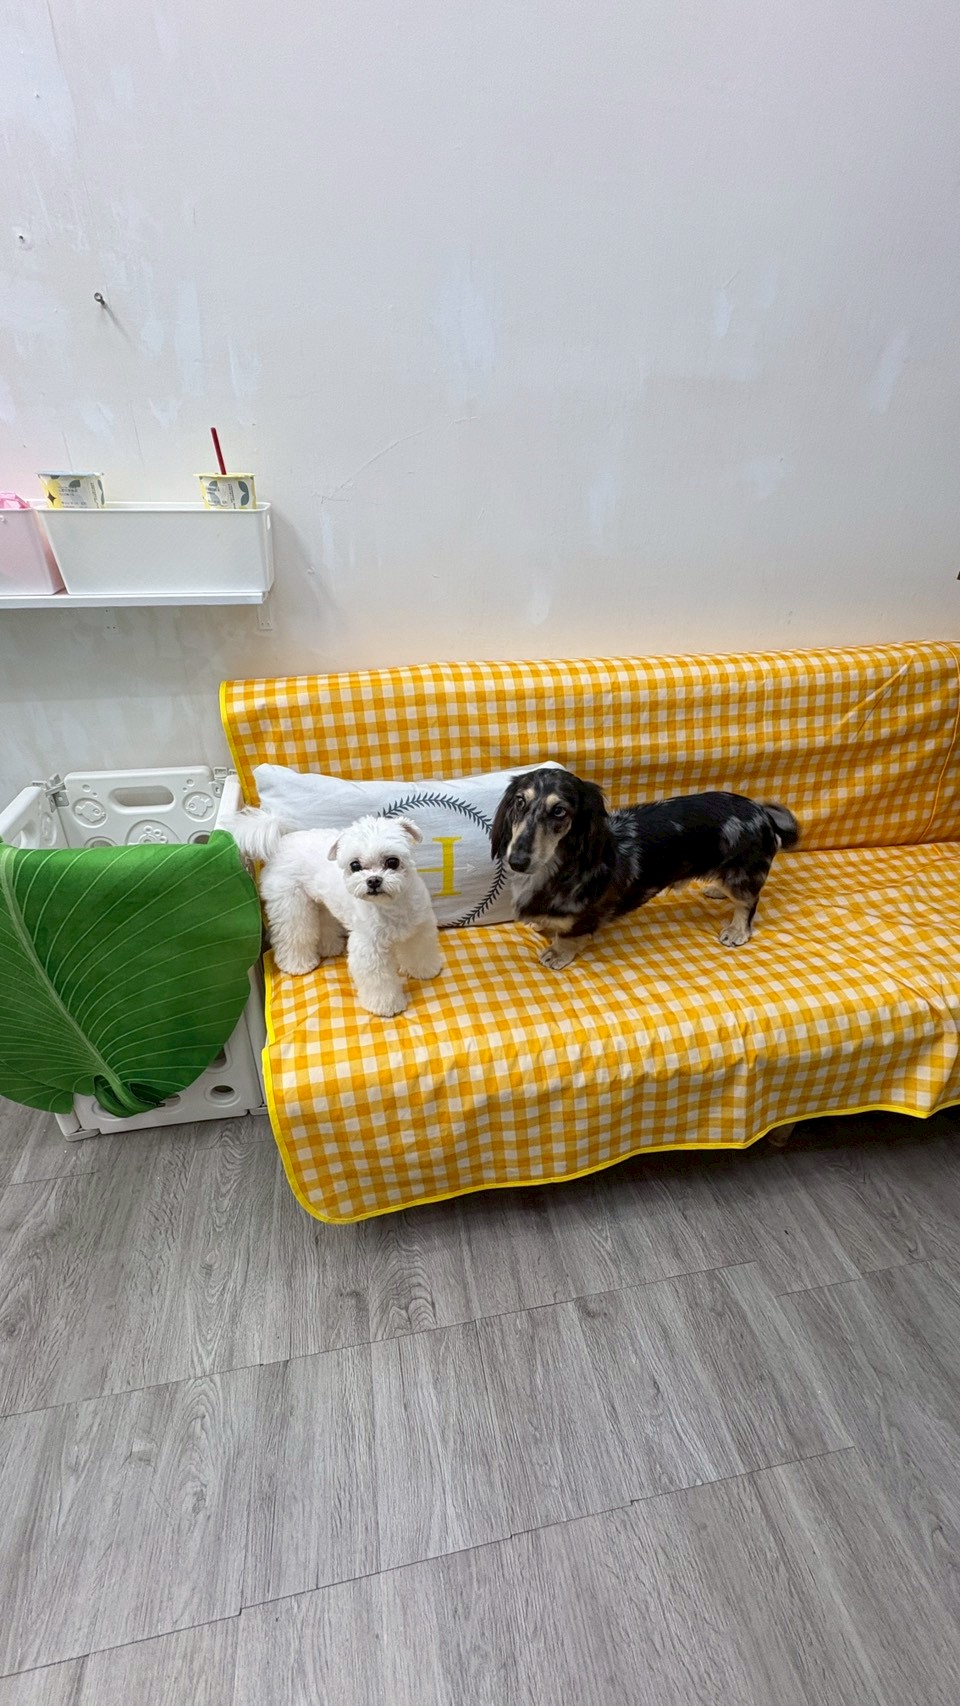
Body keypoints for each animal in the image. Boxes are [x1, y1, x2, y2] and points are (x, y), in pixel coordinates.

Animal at [226, 809, 443, 1016]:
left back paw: (329, 948)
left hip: (320, 901)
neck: (392, 905)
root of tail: (281, 841)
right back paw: (298, 964)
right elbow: (378, 979)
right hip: (291, 902)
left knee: (323, 922)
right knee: (295, 934)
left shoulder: (419, 928)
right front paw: (385, 1006)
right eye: (355, 865)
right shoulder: (368, 946)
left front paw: (425, 970)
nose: (373, 880)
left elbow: (420, 951)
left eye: (392, 862)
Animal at [490, 767, 799, 969]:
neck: (554, 869)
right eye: (520, 801)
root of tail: (763, 813)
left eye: (559, 811)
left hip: (742, 873)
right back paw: (716, 890)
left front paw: (557, 953)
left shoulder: (583, 916)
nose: (516, 861)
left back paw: (737, 930)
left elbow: (569, 934)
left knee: (748, 901)